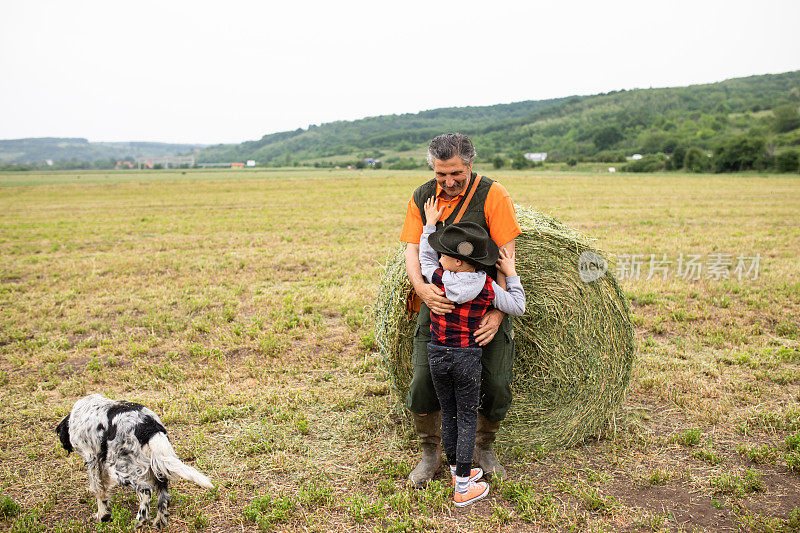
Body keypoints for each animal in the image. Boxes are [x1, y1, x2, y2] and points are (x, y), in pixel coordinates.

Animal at [55, 392, 212, 524]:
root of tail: (149, 426)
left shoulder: (92, 459)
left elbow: (98, 490)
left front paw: (102, 515)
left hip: (122, 472)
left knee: (146, 491)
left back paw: (139, 521)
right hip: (156, 468)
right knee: (163, 496)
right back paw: (159, 522)